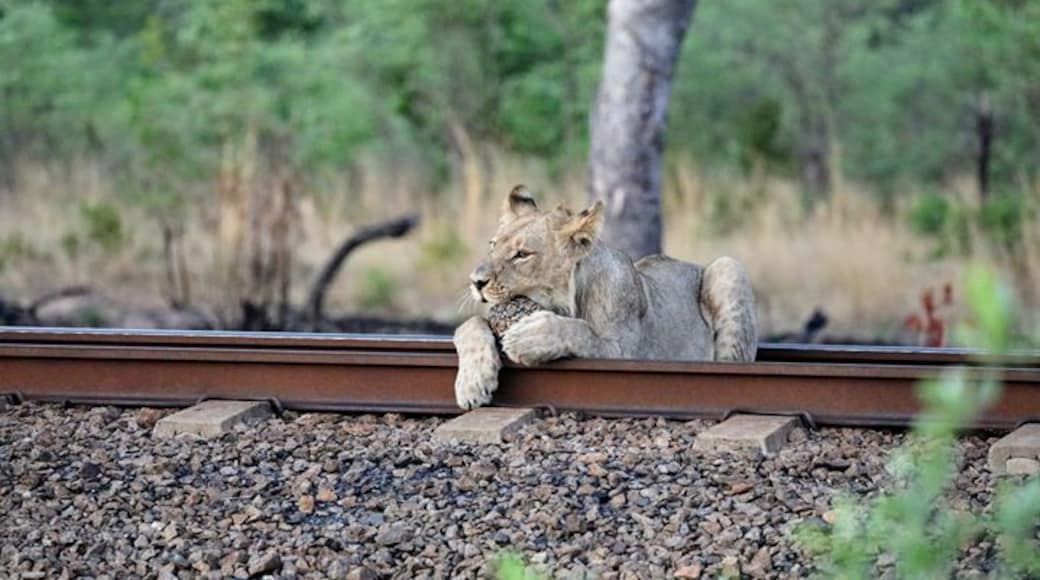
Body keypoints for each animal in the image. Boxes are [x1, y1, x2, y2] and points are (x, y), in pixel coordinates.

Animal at [453, 185, 758, 409]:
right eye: (492, 244)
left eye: (522, 254)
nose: (475, 281)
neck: (563, 302)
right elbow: (469, 325)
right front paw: (471, 384)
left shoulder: (627, 353)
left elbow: (581, 331)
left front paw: (529, 337)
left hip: (727, 267)